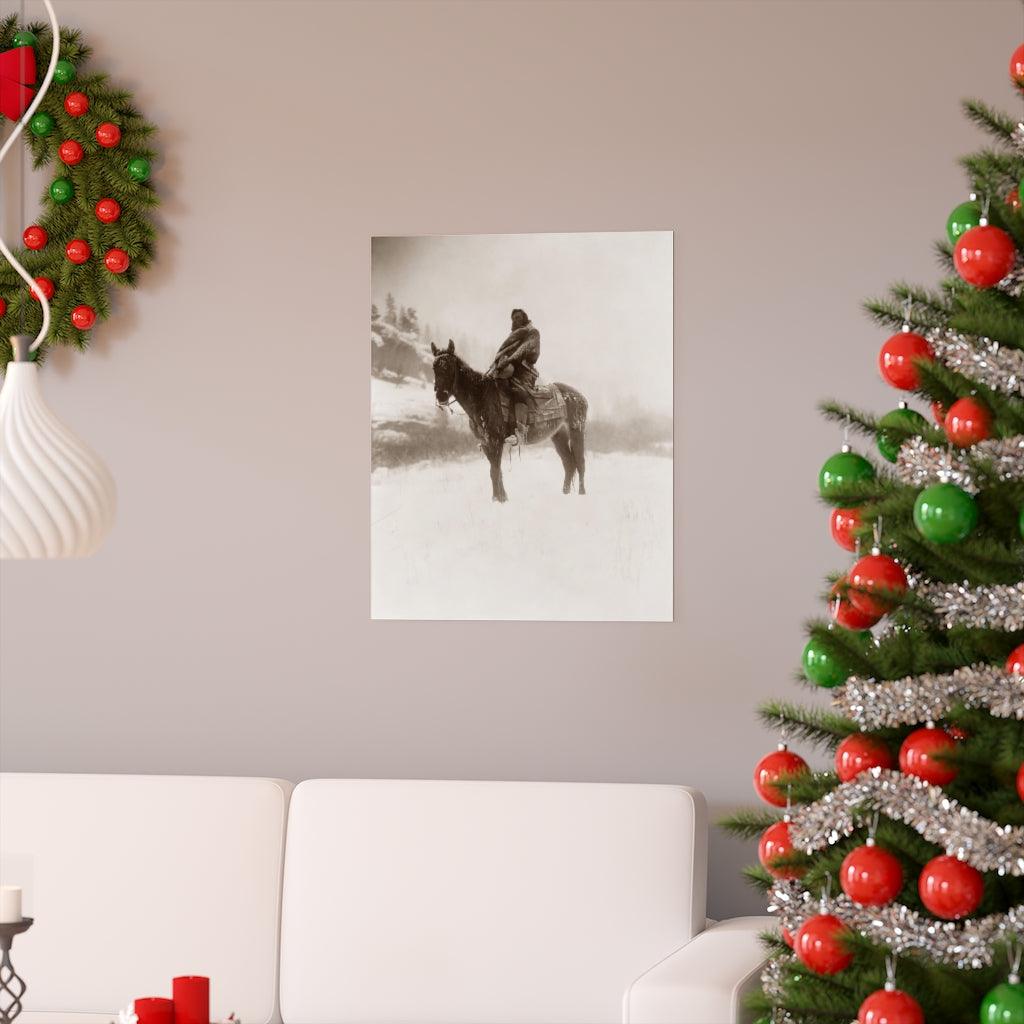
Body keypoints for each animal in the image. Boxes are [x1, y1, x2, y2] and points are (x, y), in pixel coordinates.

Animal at [432, 339, 589, 503]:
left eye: (449, 367)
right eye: (434, 367)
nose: (441, 396)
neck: (481, 397)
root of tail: (580, 397)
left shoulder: (495, 441)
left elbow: (495, 471)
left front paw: (500, 499)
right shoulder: (486, 443)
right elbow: (495, 471)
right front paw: (499, 498)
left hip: (577, 431)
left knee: (580, 462)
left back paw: (581, 493)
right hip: (558, 435)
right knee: (568, 463)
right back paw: (565, 493)